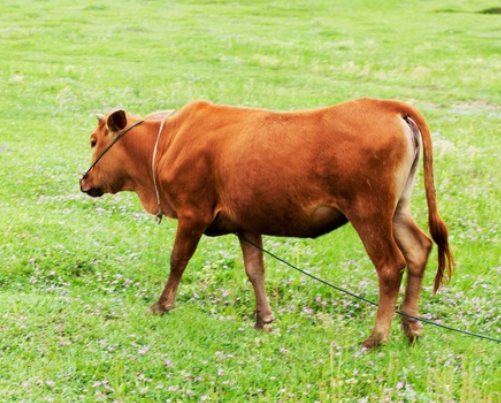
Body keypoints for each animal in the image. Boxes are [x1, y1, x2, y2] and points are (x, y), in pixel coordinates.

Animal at [79, 98, 454, 348]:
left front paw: (161, 305)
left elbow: (178, 261)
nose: (84, 181)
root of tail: (389, 107)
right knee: (419, 249)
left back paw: (376, 337)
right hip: (396, 210)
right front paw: (264, 319)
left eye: (94, 141)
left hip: (368, 212)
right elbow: (255, 270)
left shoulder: (193, 214)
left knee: (391, 265)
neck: (169, 140)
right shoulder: (247, 223)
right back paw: (411, 328)